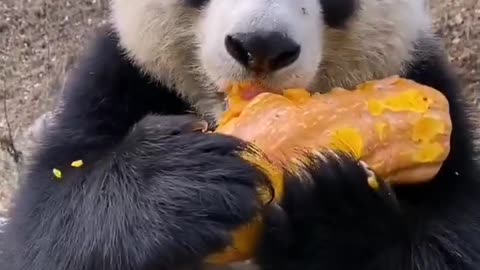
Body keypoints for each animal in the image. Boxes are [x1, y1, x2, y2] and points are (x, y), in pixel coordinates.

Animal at [2, 0, 480, 268]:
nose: (261, 46)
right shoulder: (120, 80)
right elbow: (39, 232)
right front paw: (182, 181)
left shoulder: (432, 89)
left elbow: (449, 249)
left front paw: (336, 213)